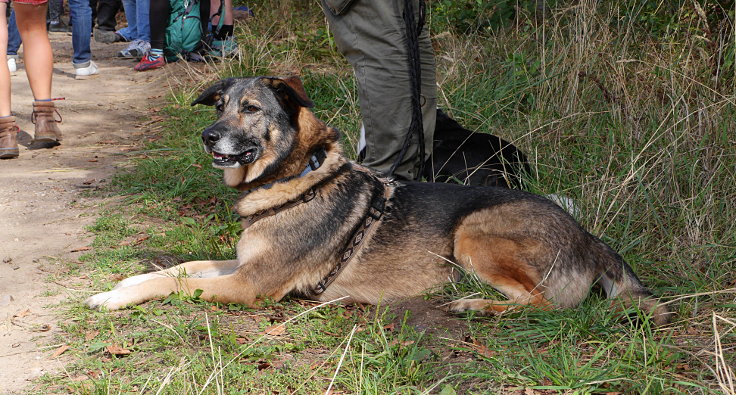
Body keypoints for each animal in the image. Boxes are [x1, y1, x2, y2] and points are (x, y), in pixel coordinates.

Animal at [86, 76, 672, 326]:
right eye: (220, 104)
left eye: (250, 109)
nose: (208, 136)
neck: (294, 179)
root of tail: (590, 239)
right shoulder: (241, 265)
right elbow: (178, 267)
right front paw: (118, 284)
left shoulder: (249, 286)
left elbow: (172, 282)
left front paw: (114, 298)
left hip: (474, 232)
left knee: (549, 305)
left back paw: (475, 305)